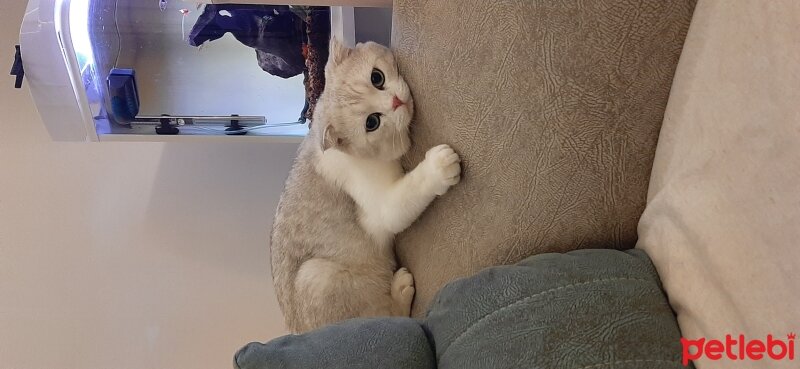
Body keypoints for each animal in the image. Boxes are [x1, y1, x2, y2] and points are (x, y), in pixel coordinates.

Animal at [268, 38, 460, 332]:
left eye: (377, 78)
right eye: (372, 122)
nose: (396, 102)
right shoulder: (382, 209)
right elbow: (404, 197)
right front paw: (439, 166)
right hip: (317, 276)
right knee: (392, 318)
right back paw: (400, 289)